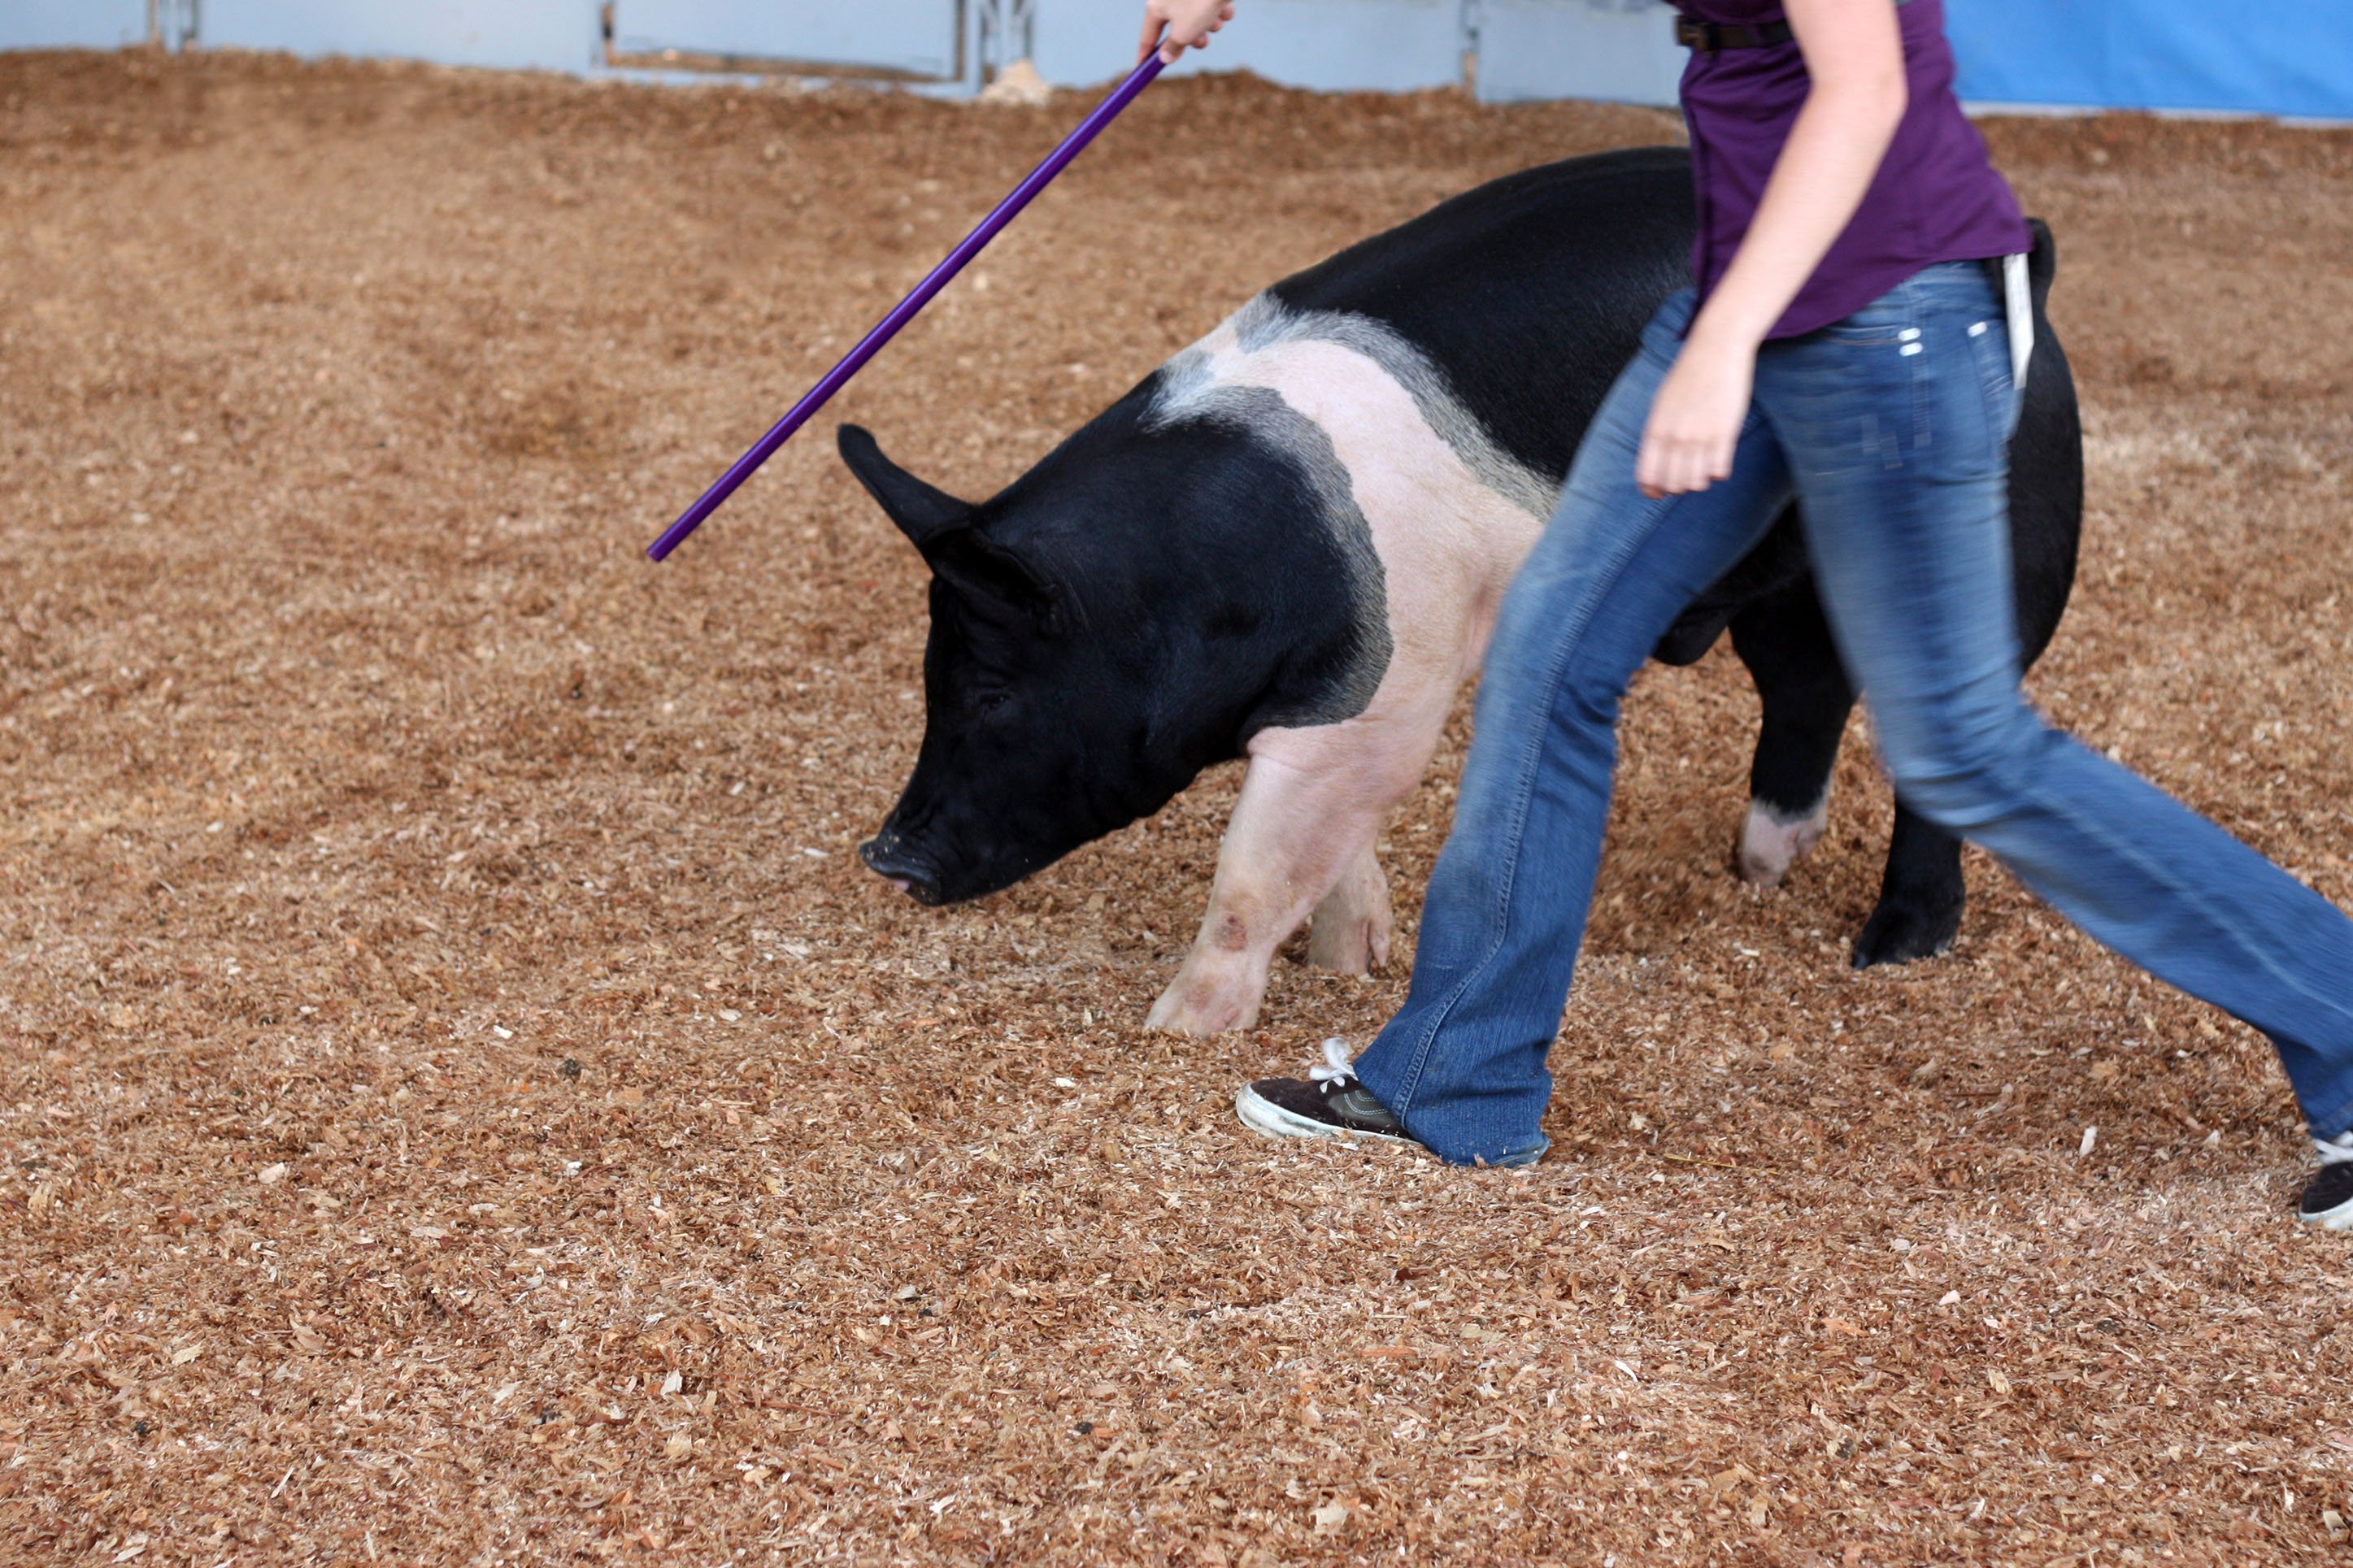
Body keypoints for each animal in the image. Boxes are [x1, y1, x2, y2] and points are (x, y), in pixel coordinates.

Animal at [842, 144, 2080, 1029]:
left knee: (1938, 747)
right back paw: (1756, 872)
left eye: (992, 692)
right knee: (1806, 688)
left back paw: (1891, 949)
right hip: (1780, 586)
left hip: (1997, 539)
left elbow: (1257, 869)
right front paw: (1354, 965)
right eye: (928, 676)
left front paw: (1173, 1032)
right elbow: (1334, 848)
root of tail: (2022, 253)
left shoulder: (1387, 682)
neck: (1204, 577)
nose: (882, 858)